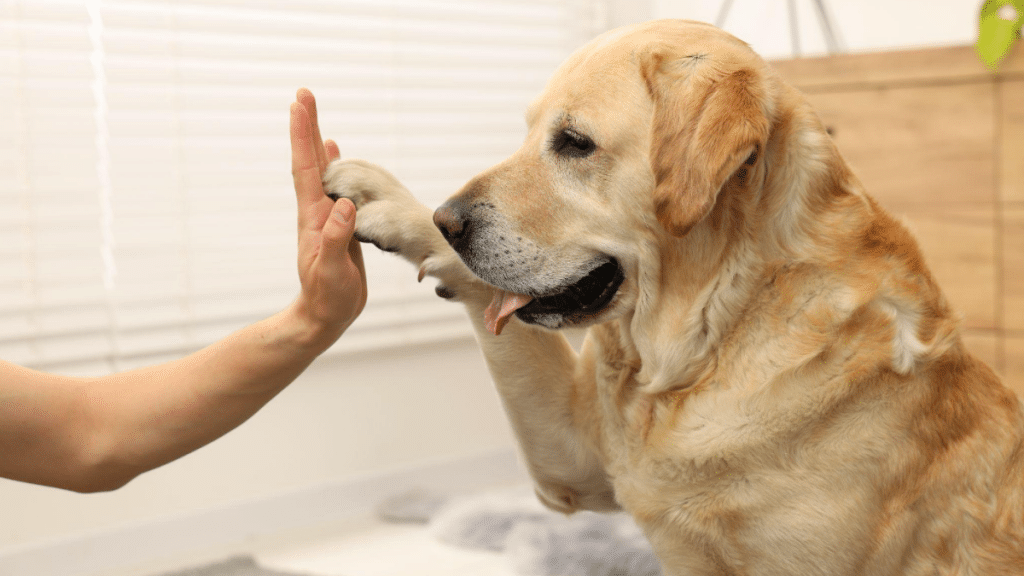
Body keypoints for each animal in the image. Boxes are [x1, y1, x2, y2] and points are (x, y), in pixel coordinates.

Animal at [325, 19, 1024, 573]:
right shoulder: (572, 461)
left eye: (574, 142)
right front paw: (388, 200)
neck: (709, 341)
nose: (448, 220)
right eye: (527, 135)